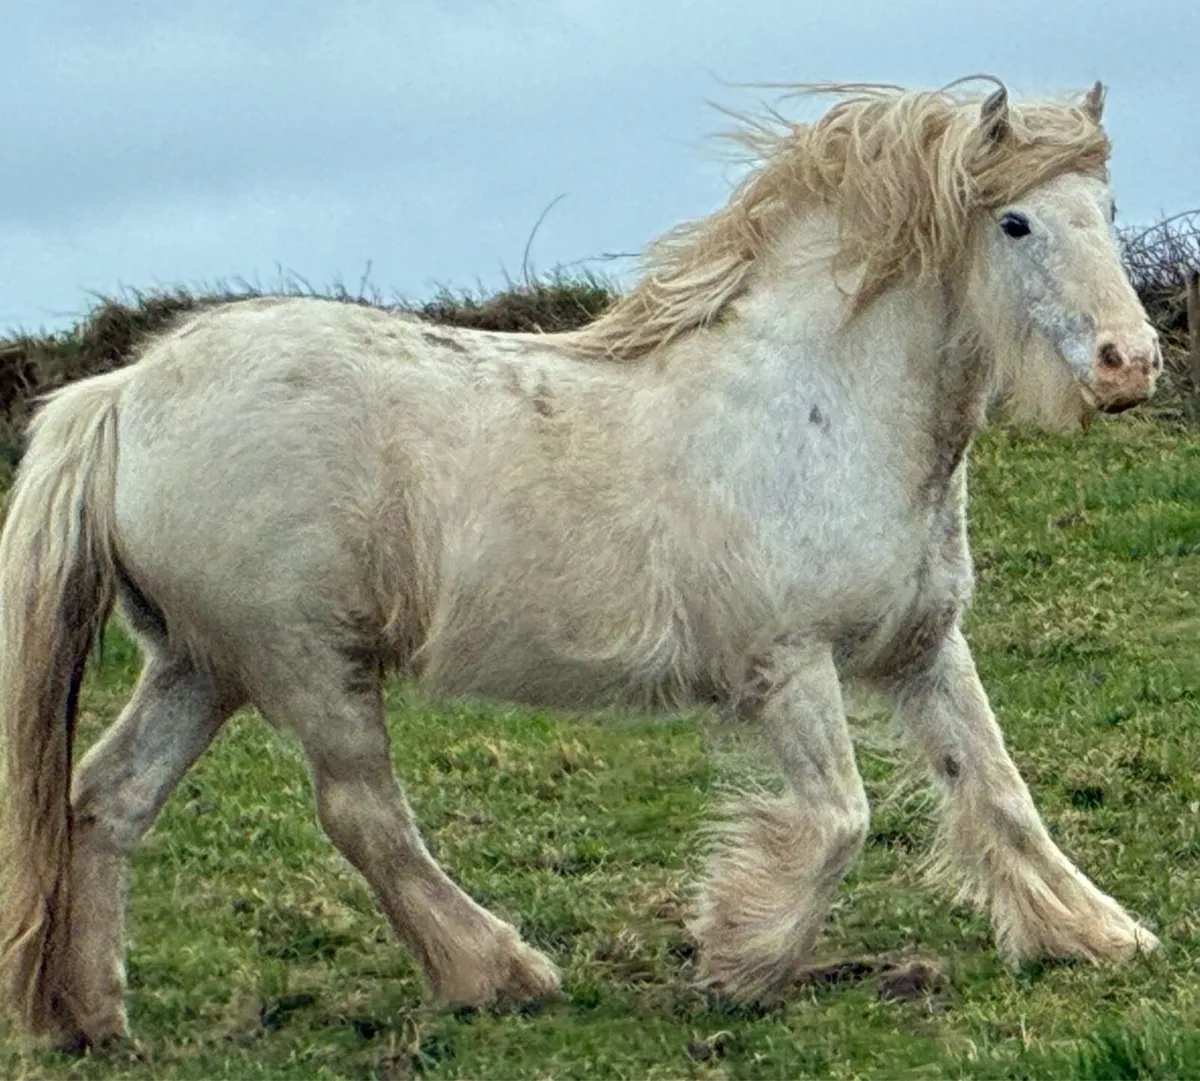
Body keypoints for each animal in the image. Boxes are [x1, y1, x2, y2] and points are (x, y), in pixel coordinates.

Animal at [0, 78, 1162, 1049]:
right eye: (1014, 221)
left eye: (1103, 210)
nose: (1130, 364)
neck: (821, 405)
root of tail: (124, 391)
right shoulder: (787, 661)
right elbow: (841, 819)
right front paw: (740, 961)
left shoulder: (921, 649)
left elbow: (996, 787)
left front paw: (1097, 934)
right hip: (305, 662)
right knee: (364, 813)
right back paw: (500, 973)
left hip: (201, 664)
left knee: (107, 799)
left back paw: (94, 1018)